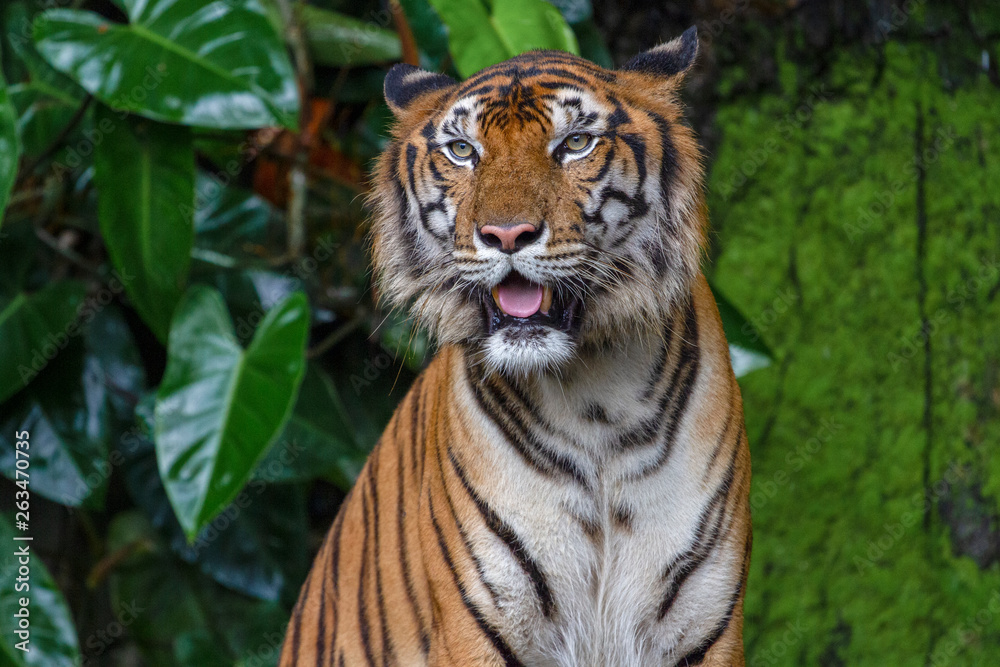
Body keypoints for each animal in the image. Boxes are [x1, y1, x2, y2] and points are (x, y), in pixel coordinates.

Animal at [281, 26, 752, 667]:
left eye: (575, 143)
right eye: (462, 150)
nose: (506, 234)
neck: (596, 399)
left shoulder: (702, 625)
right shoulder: (481, 620)